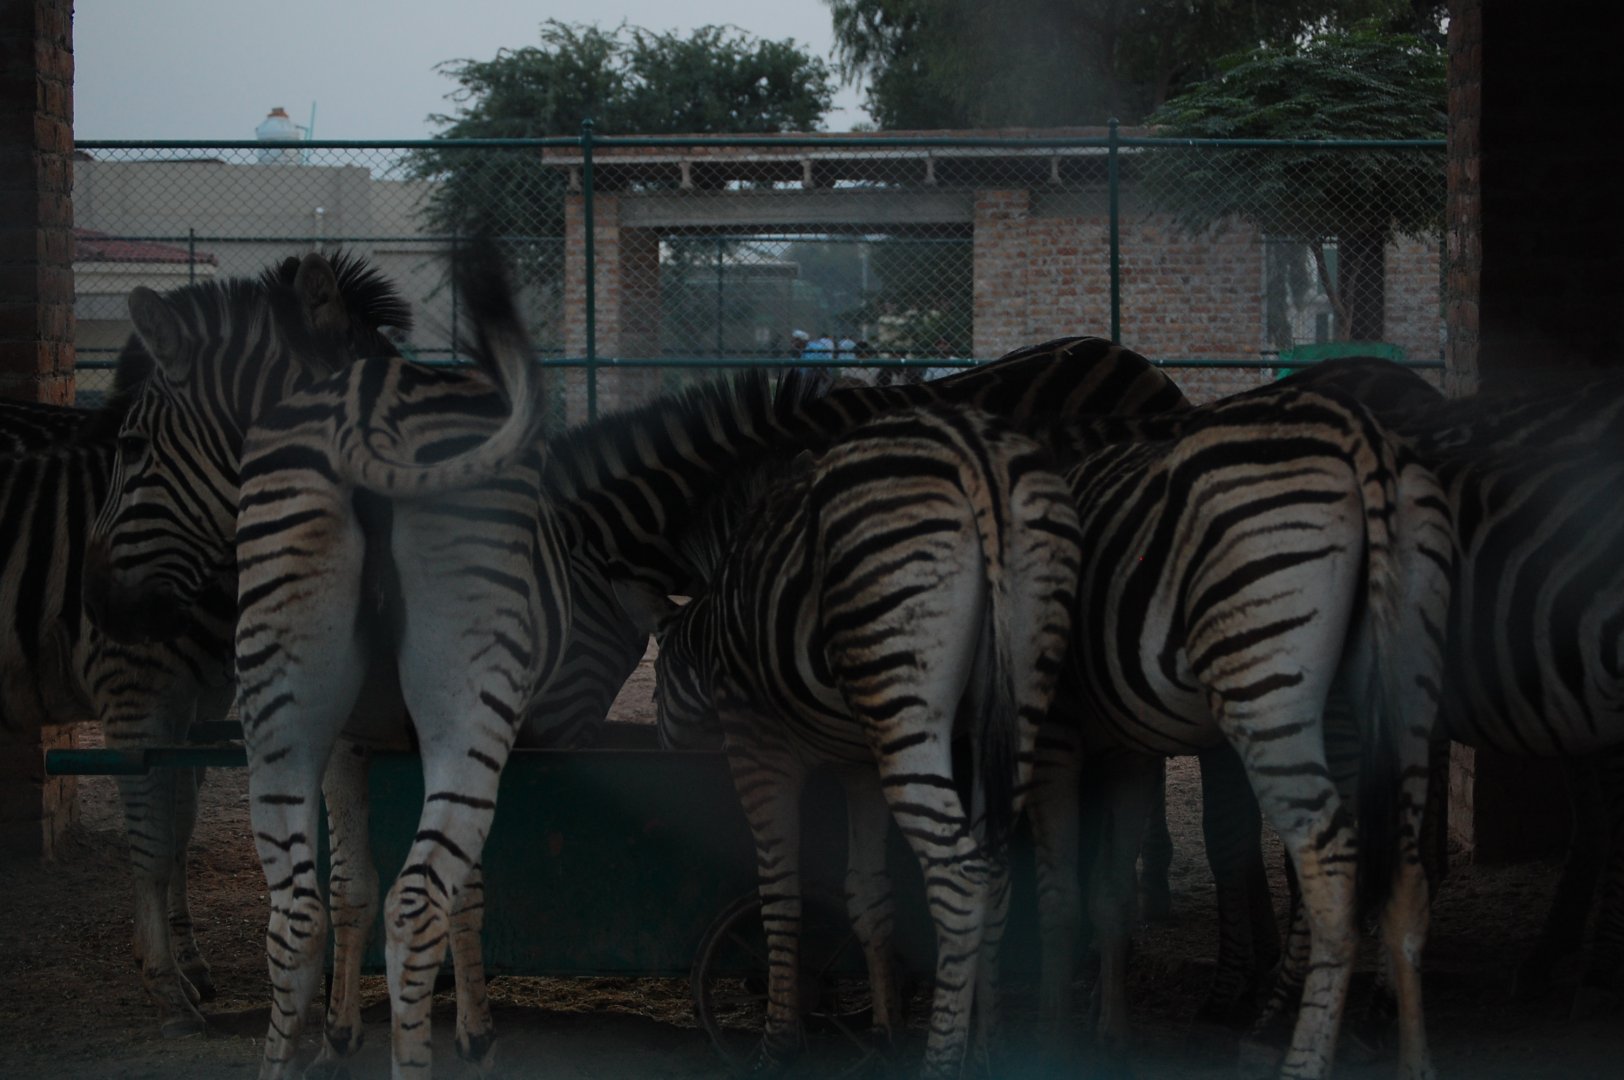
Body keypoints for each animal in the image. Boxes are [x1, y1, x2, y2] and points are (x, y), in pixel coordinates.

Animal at [616, 404, 1083, 1078]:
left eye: (654, 691)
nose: (659, 751)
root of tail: (975, 450)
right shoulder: (859, 767)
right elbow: (867, 893)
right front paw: (884, 1028)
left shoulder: (758, 748)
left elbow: (780, 896)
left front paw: (776, 1043)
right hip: (1017, 699)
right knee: (995, 868)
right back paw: (990, 1048)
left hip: (905, 696)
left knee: (960, 875)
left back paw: (941, 1061)